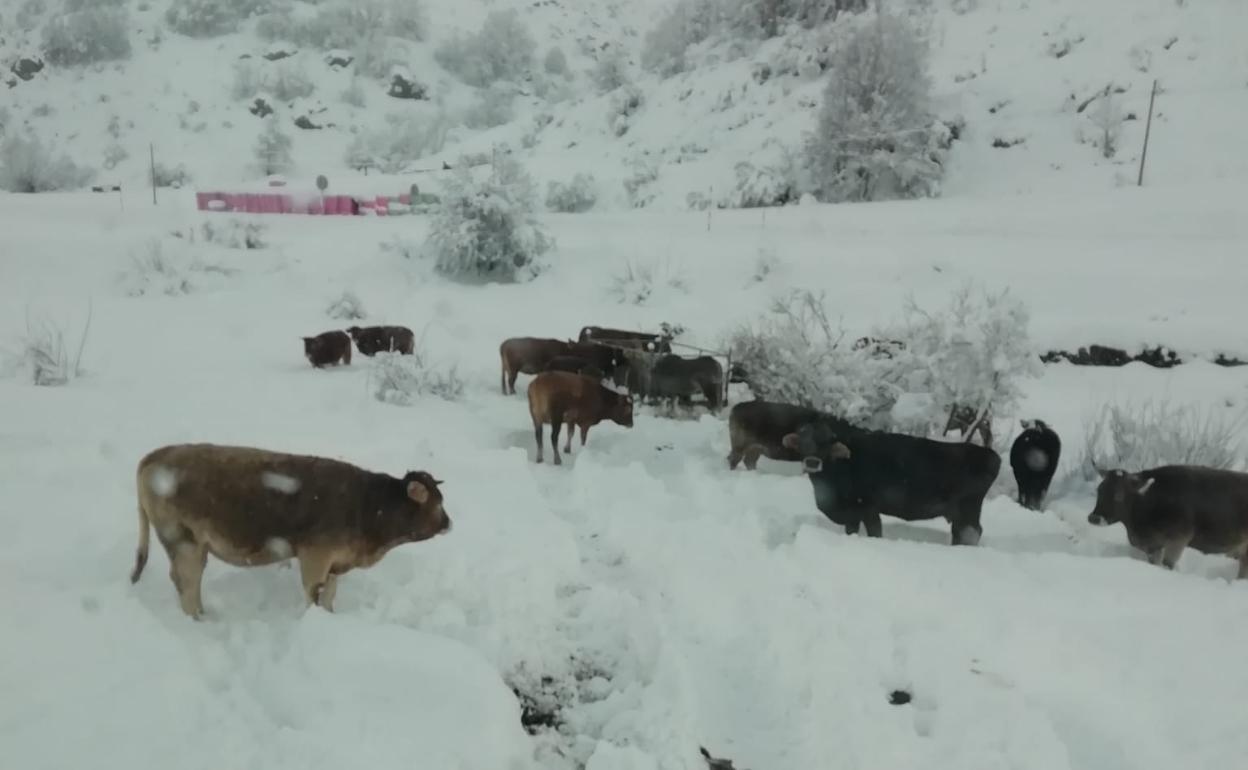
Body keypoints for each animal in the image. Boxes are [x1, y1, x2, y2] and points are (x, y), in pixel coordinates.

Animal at [128, 443, 451, 619]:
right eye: (437, 503)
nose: (449, 523)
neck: (369, 507)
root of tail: (153, 456)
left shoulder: (336, 563)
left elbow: (329, 596)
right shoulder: (315, 557)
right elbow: (314, 595)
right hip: (184, 543)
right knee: (187, 584)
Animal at [728, 400, 863, 470]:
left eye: (826, 445)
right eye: (804, 443)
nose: (812, 463)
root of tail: (736, 407)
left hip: (755, 448)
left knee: (748, 461)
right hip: (740, 445)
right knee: (734, 459)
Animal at [782, 417, 1002, 545]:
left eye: (827, 443)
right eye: (802, 441)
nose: (812, 462)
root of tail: (989, 454)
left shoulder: (868, 508)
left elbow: (875, 532)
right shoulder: (852, 515)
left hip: (969, 509)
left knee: (972, 532)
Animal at [1086, 465, 1248, 578]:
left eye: (1119, 495)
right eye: (1099, 489)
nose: (1094, 518)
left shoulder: (1178, 539)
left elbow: (1167, 564)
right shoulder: (1154, 546)